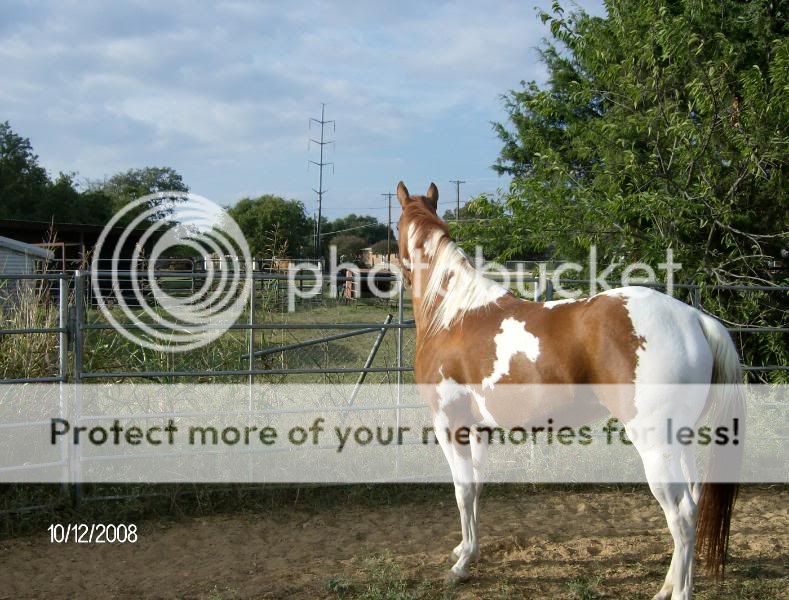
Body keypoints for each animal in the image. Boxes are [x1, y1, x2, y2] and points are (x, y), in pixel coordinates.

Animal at [398, 182, 740, 600]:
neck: (453, 315)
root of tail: (694, 319)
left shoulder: (451, 424)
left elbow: (462, 490)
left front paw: (460, 567)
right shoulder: (478, 428)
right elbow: (476, 488)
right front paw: (468, 550)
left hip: (655, 443)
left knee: (682, 514)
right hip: (682, 440)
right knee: (692, 500)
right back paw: (665, 587)